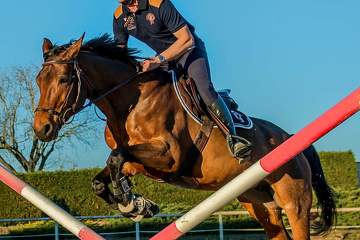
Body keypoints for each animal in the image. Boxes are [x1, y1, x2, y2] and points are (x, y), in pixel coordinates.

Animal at [32, 34, 336, 240]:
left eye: (65, 80)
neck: (130, 103)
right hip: (258, 202)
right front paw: (135, 204)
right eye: (38, 80)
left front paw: (130, 202)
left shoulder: (170, 156)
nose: (41, 129)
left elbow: (117, 157)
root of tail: (290, 137)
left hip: (294, 199)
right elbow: (106, 173)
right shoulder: (141, 162)